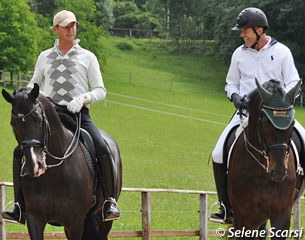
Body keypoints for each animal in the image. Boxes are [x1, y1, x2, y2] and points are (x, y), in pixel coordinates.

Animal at [2, 83, 122, 239]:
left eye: (37, 119)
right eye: (13, 123)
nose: (34, 166)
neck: (55, 175)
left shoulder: (75, 221)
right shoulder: (35, 219)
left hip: (103, 221)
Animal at [227, 79, 302, 237]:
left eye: (292, 123)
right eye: (266, 123)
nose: (279, 172)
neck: (262, 171)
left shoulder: (282, 215)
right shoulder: (245, 217)